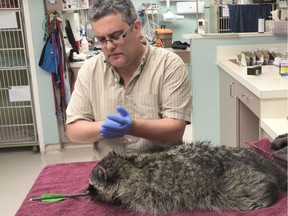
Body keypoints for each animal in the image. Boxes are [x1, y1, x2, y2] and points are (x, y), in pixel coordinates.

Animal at [87, 141, 286, 213]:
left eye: (92, 186)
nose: (86, 192)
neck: (126, 165)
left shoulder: (144, 192)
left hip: (230, 184)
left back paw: (267, 192)